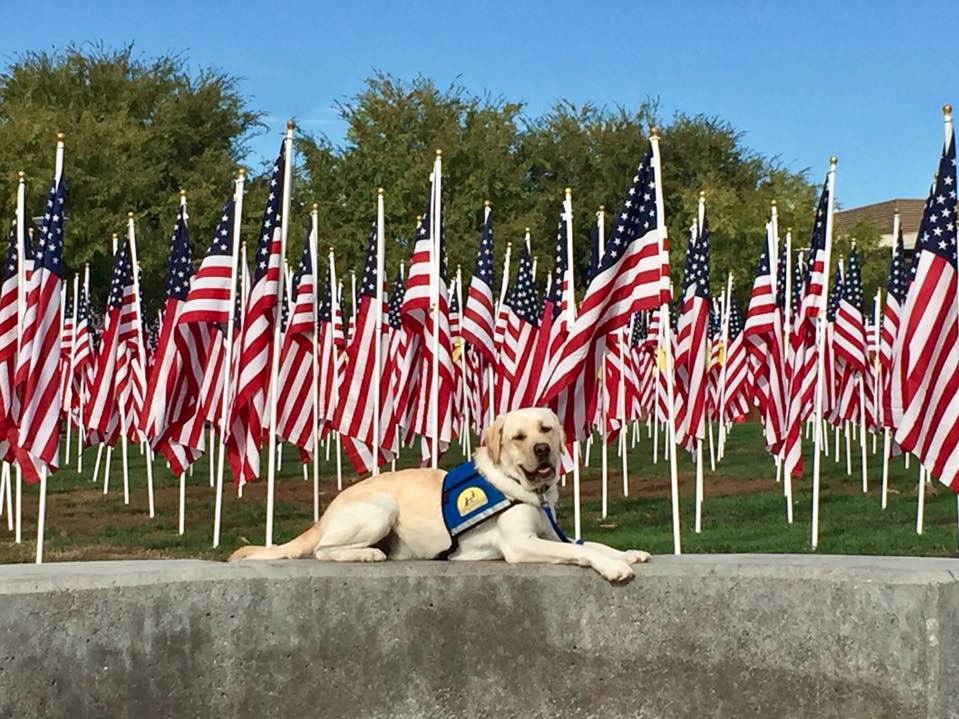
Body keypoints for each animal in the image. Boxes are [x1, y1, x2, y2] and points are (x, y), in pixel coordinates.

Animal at [232, 408, 652, 584]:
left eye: (546, 429)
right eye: (519, 437)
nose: (542, 450)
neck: (524, 489)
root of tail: (325, 514)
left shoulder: (550, 532)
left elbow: (591, 542)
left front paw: (626, 552)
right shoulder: (522, 544)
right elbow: (579, 551)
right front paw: (613, 567)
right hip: (381, 508)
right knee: (324, 550)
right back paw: (368, 554)